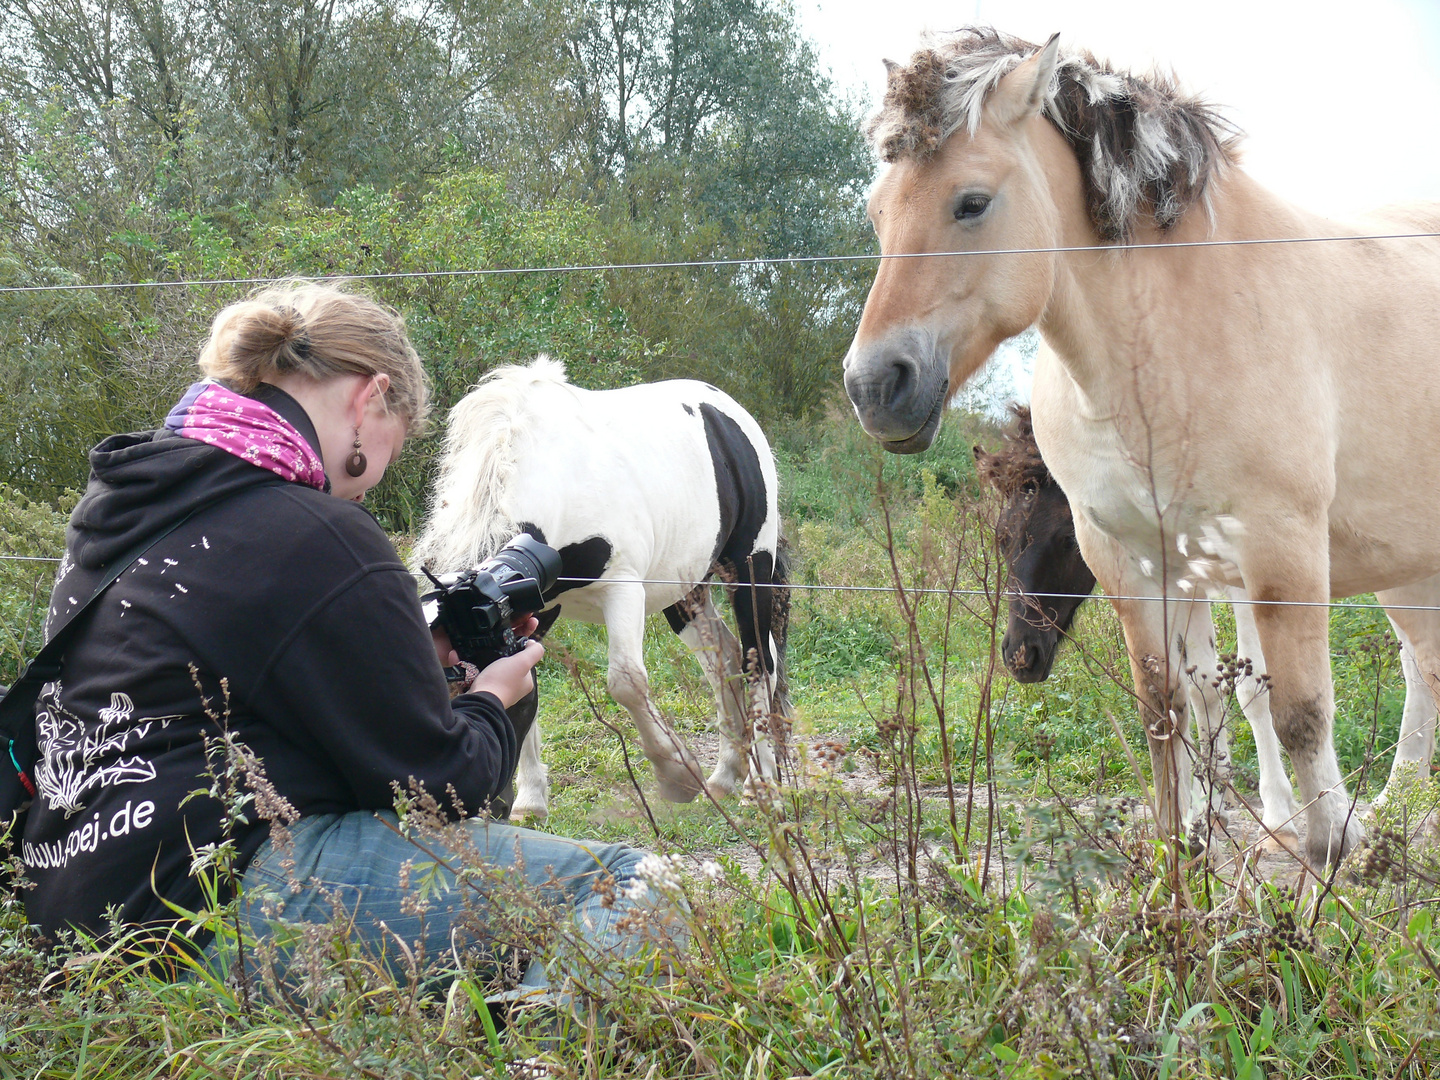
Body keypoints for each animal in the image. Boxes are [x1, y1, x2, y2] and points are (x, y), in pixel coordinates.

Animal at [411, 357, 794, 817]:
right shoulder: (530, 609)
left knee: (760, 660)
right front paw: (532, 800)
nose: (477, 806)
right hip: (687, 588)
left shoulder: (623, 588)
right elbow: (527, 677)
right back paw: (725, 775)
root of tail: (728, 410)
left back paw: (763, 786)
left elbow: (626, 681)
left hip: (750, 568)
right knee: (723, 655)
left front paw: (676, 775)